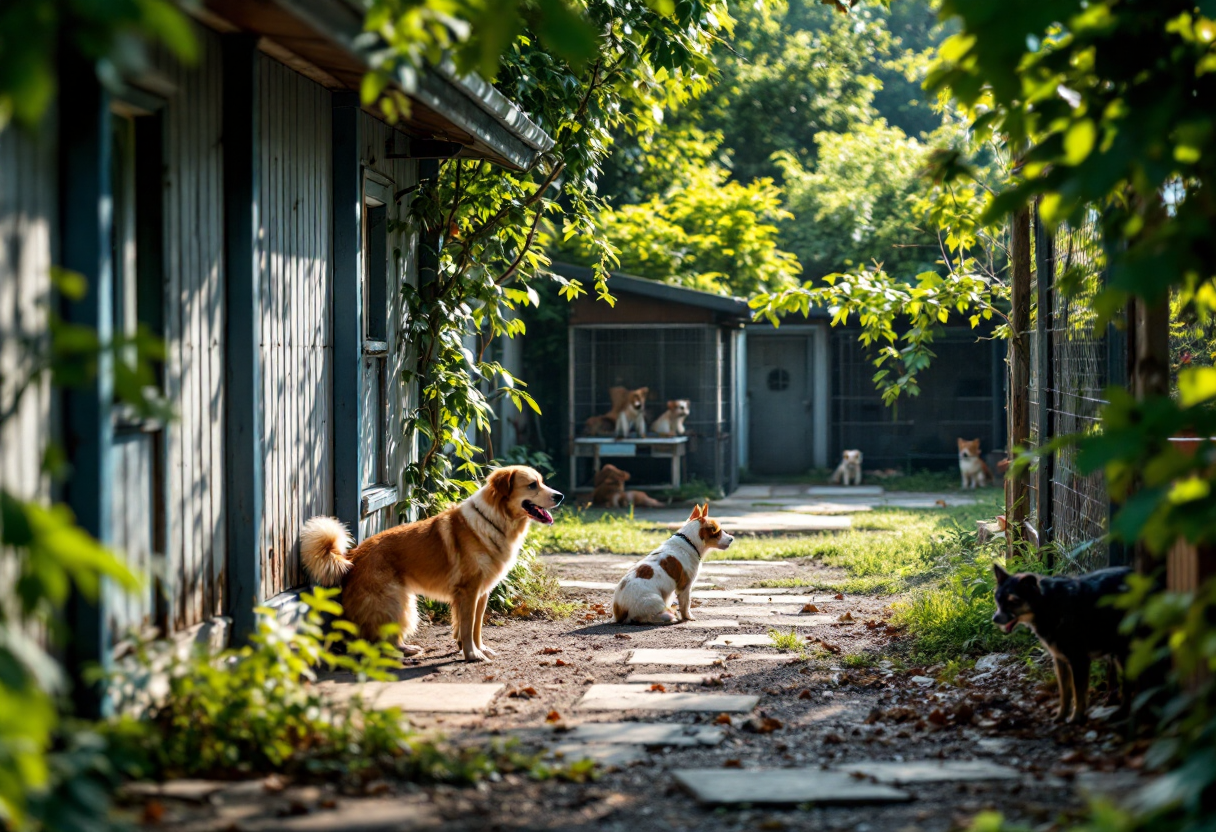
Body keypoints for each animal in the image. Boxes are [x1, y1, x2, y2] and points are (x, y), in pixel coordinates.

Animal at [296, 464, 561, 661]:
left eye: (542, 481)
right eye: (532, 484)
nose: (560, 496)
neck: (495, 519)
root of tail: (351, 557)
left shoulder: (481, 593)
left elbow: (475, 627)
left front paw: (479, 649)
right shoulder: (468, 591)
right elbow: (467, 626)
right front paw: (472, 655)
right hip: (395, 602)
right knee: (374, 638)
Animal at [992, 561, 1133, 724]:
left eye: (1013, 601)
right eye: (998, 599)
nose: (994, 619)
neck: (1048, 604)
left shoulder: (1079, 660)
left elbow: (1079, 693)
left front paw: (1076, 718)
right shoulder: (1060, 660)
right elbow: (1065, 694)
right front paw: (1060, 716)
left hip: (1123, 652)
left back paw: (1122, 713)